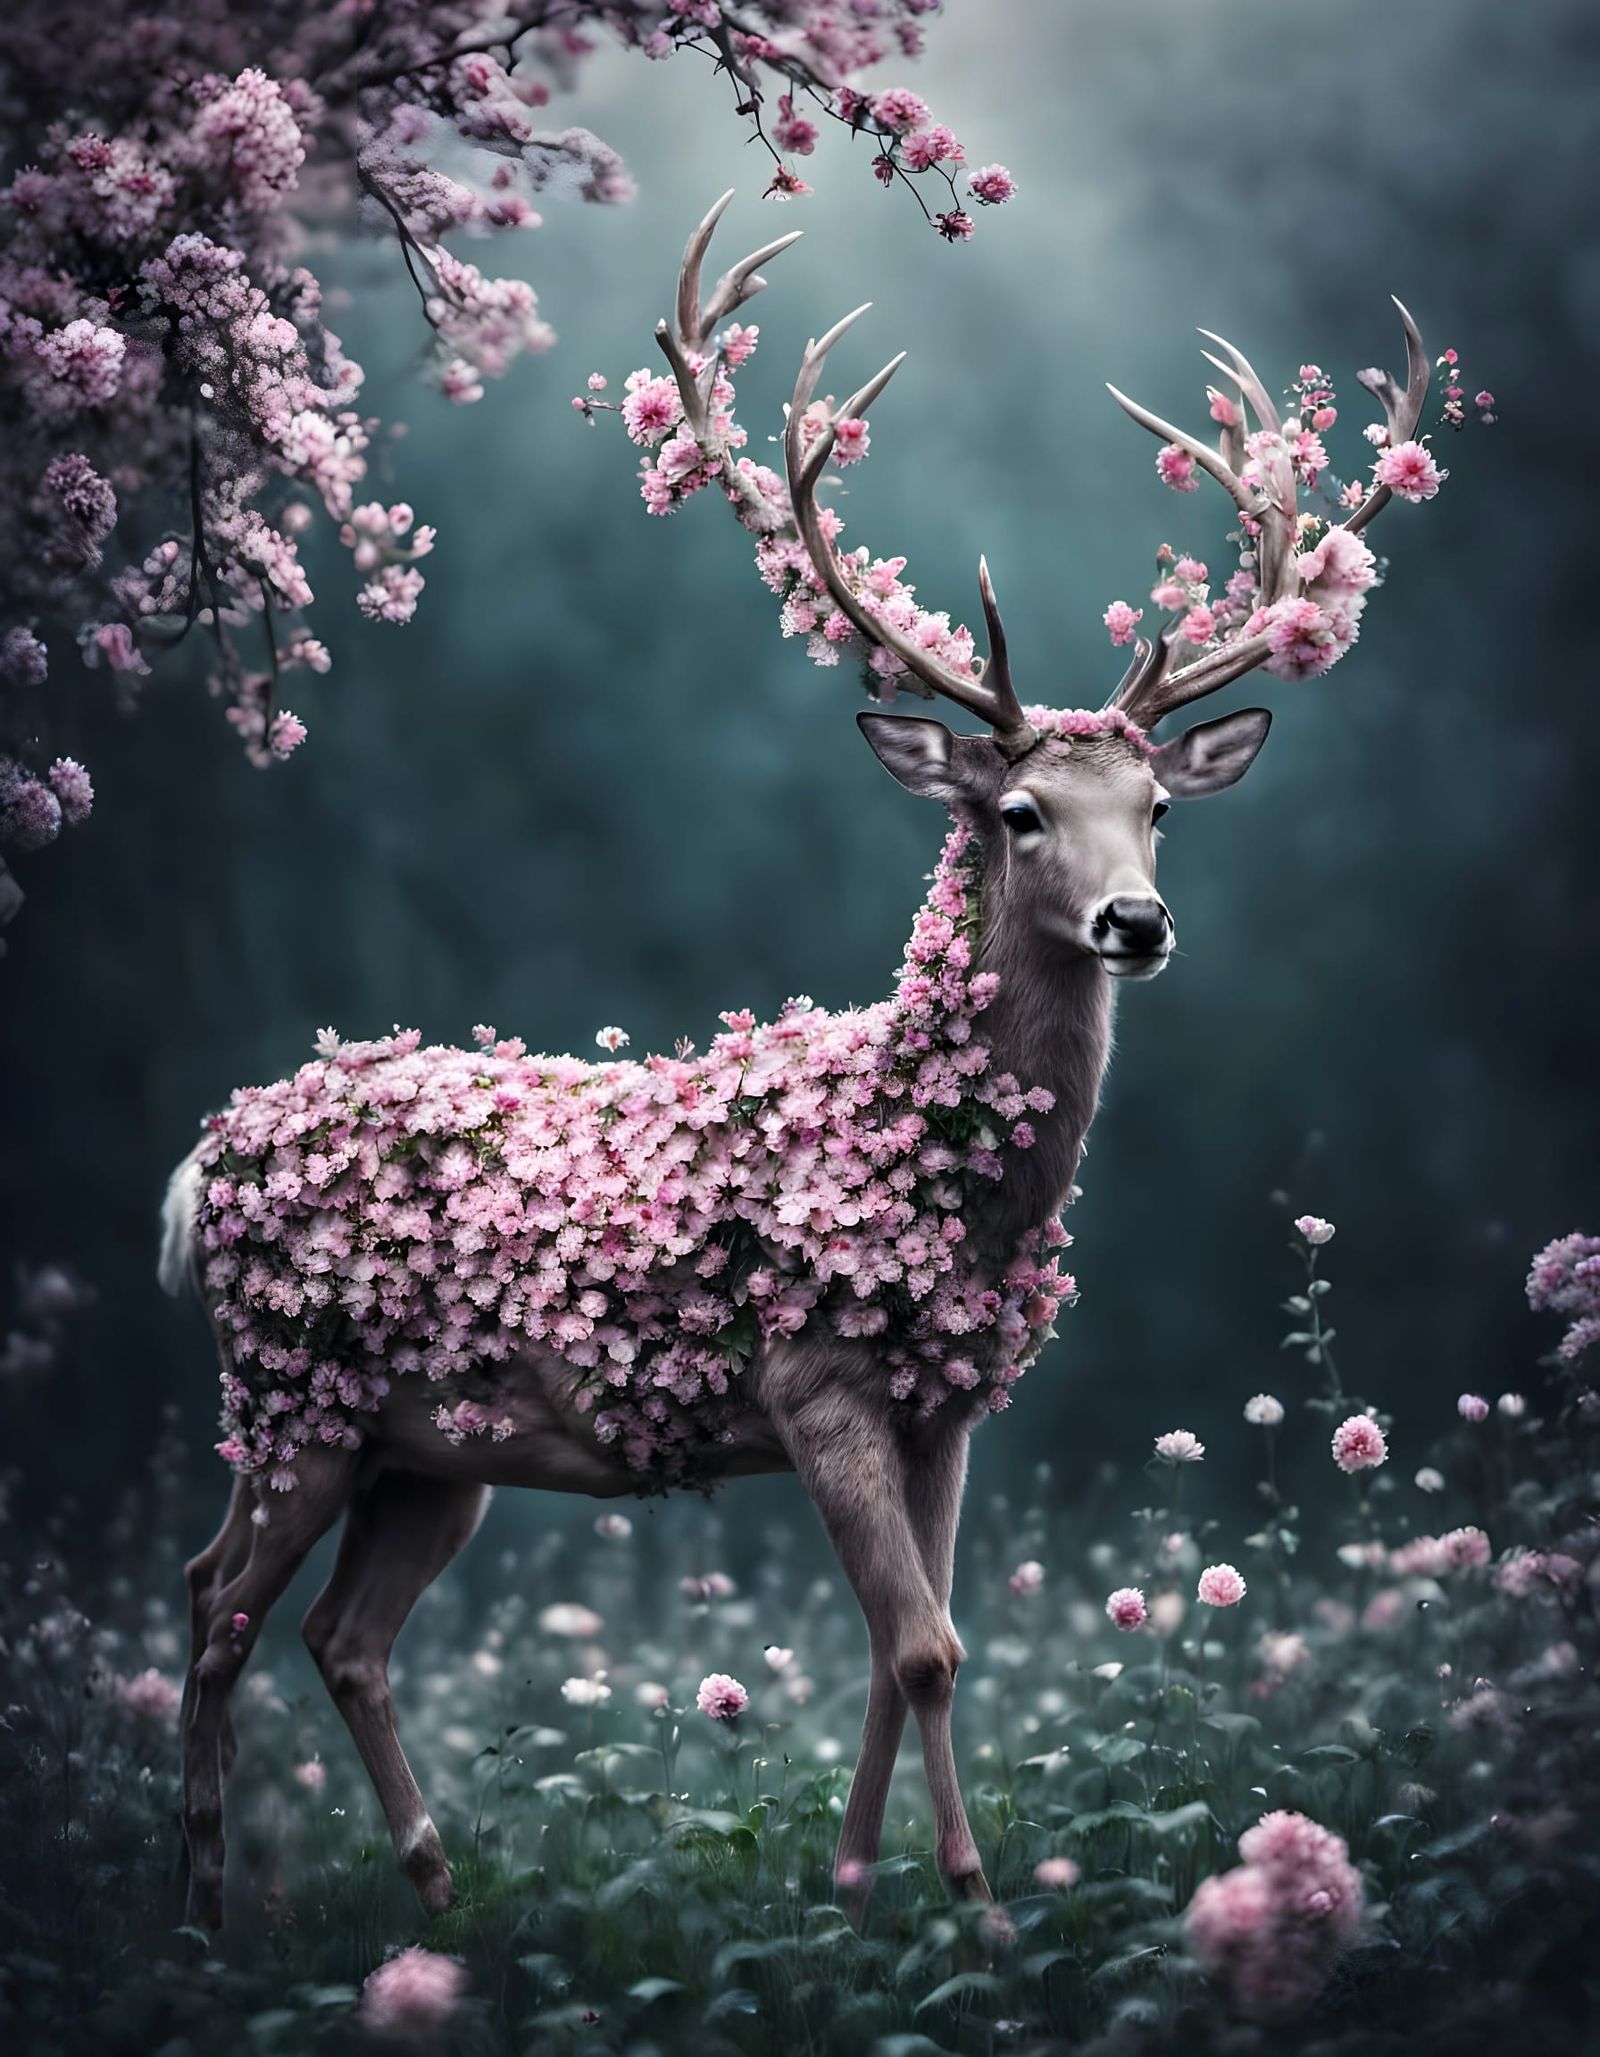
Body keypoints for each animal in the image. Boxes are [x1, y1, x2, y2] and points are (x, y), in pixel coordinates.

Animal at [161, 192, 1436, 1931]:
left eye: (1162, 807)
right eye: (1018, 810)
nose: (1138, 920)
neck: (939, 1181)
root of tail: (206, 1159)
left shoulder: (950, 1405)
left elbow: (902, 1653)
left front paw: (851, 1884)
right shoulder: (812, 1369)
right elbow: (930, 1644)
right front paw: (973, 1897)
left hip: (429, 1447)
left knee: (329, 1631)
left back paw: (426, 1884)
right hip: (290, 1389)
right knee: (214, 1599)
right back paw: (206, 1905)